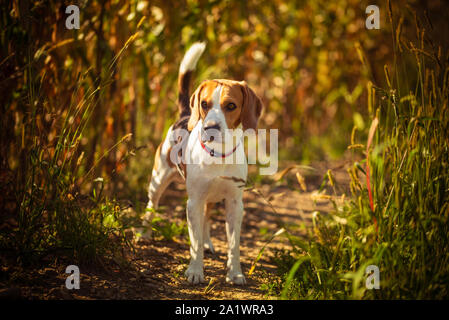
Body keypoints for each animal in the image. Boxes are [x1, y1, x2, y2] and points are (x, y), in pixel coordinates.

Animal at [142, 42, 262, 284]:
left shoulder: (235, 203)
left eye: (231, 105)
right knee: (152, 205)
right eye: (204, 104)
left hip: (211, 197)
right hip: (158, 181)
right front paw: (195, 271)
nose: (210, 128)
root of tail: (184, 114)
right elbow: (194, 241)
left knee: (206, 220)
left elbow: (234, 245)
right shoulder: (194, 202)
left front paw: (235, 273)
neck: (219, 155)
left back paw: (208, 243)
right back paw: (144, 233)